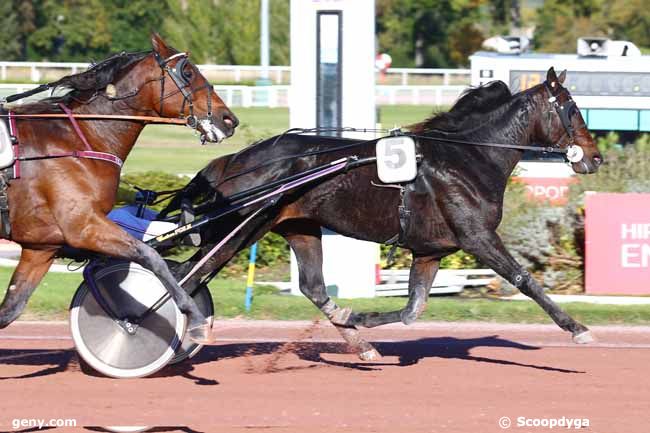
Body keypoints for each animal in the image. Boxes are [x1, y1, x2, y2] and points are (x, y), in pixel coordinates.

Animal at [0, 33, 238, 340]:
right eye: (187, 71)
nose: (229, 119)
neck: (81, 138)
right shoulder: (84, 227)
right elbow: (149, 255)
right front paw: (194, 317)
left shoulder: (41, 247)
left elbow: (10, 310)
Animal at [163, 67, 604, 358]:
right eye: (572, 109)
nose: (595, 157)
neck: (469, 158)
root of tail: (235, 160)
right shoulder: (477, 237)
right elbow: (524, 279)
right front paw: (578, 329)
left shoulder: (430, 251)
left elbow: (412, 310)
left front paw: (357, 316)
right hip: (241, 227)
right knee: (189, 275)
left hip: (299, 226)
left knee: (313, 287)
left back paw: (360, 344)